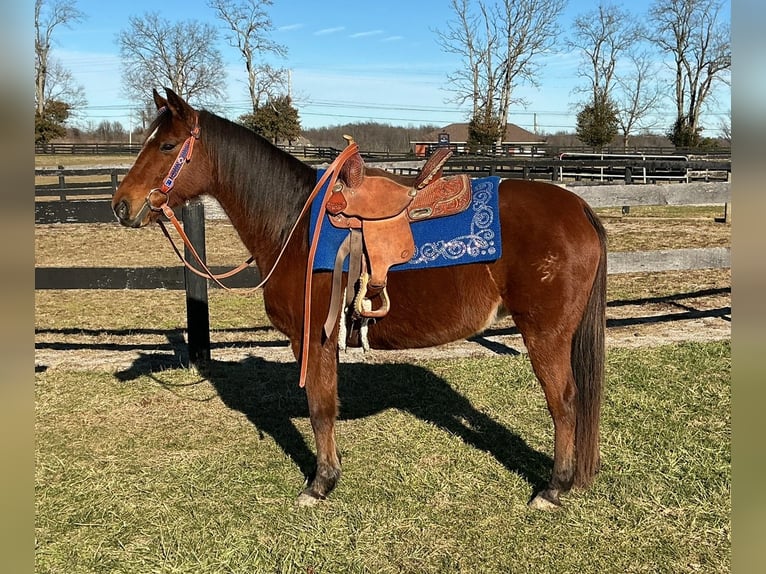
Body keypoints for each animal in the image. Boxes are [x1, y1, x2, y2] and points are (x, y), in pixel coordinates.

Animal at [112, 88, 607, 510]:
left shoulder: (313, 339)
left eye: (167, 145)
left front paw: (320, 484)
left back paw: (553, 488)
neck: (294, 224)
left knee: (565, 403)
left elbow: (319, 408)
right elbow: (325, 405)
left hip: (545, 334)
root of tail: (579, 208)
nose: (121, 205)